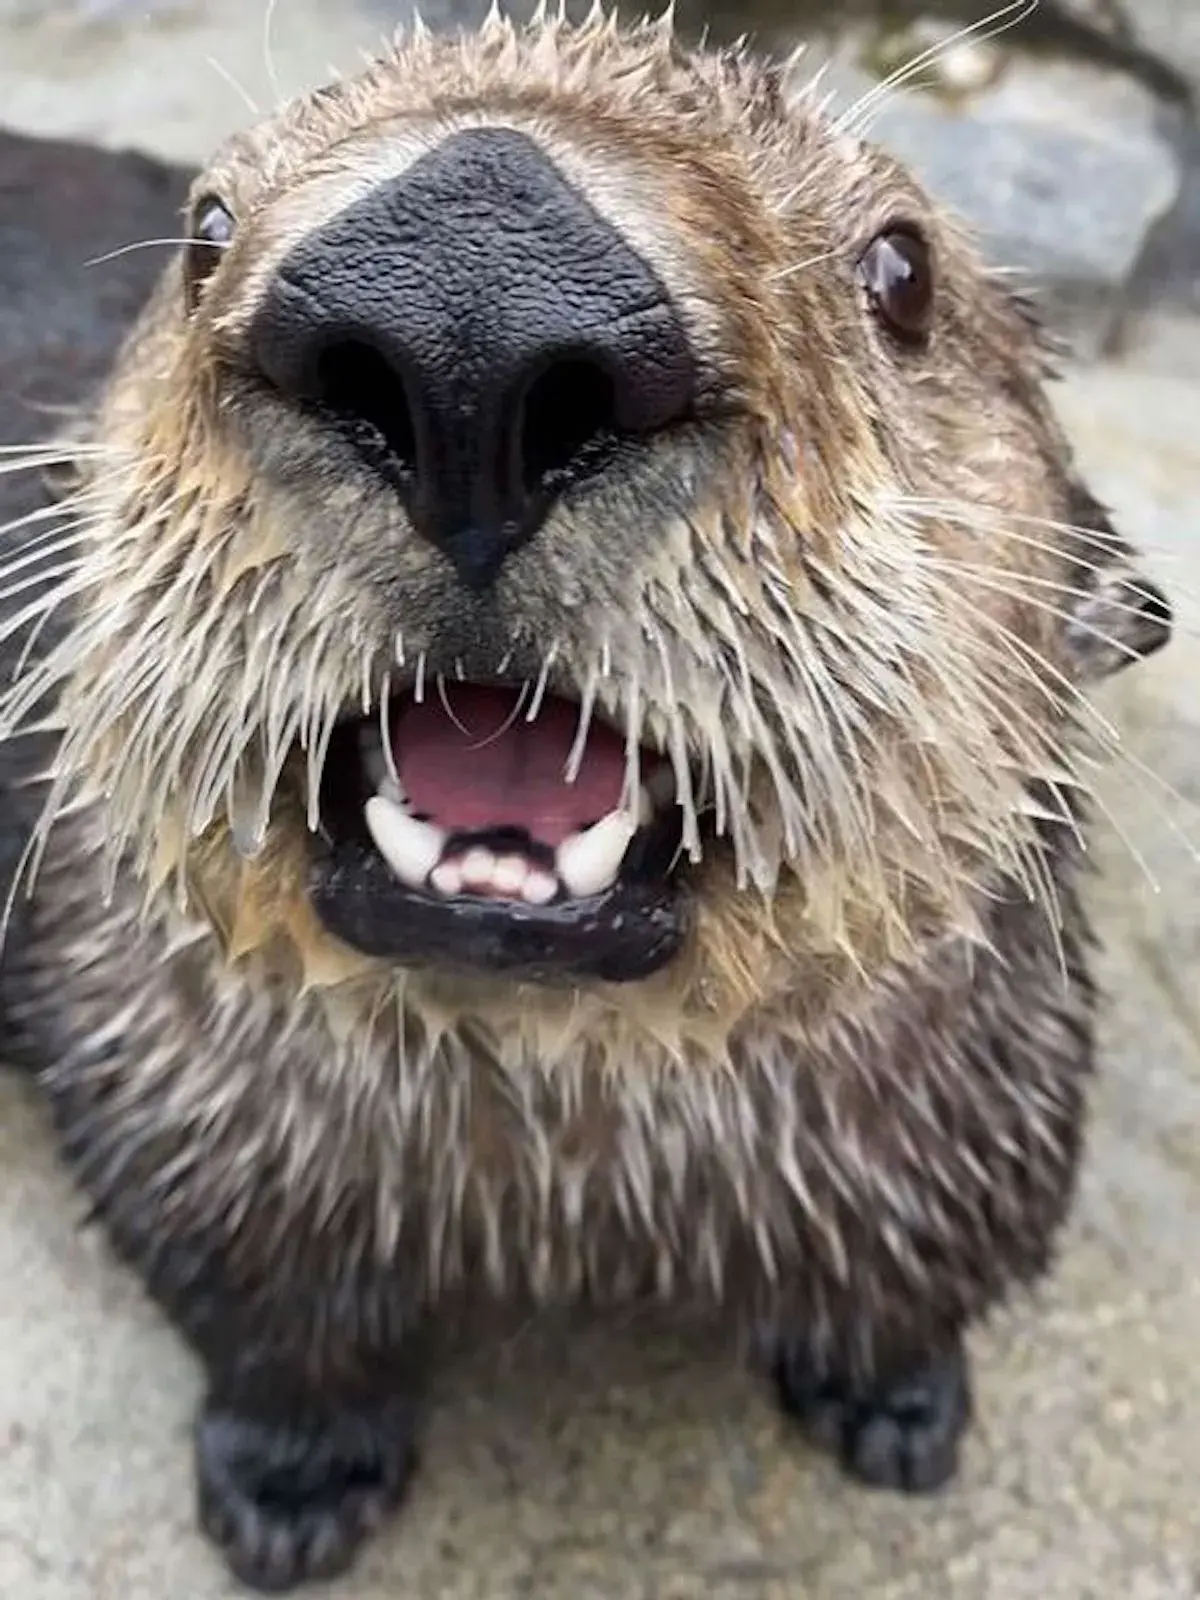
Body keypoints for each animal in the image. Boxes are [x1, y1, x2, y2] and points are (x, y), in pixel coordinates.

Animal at [0, 8, 1173, 1593]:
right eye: (206, 230)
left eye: (903, 269)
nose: (471, 287)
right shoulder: (174, 1103)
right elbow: (271, 1319)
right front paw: (291, 1487)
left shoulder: (989, 1100)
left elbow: (925, 1269)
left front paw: (898, 1405)